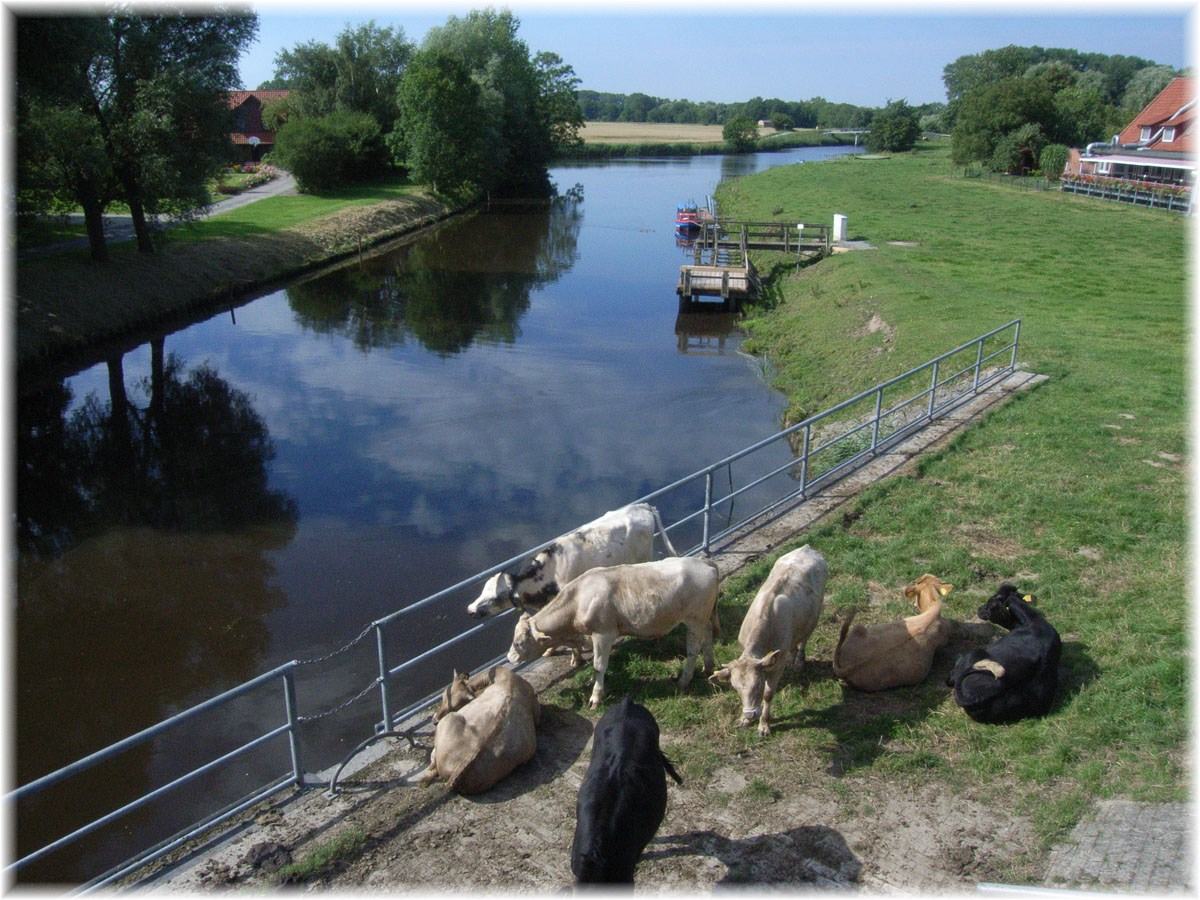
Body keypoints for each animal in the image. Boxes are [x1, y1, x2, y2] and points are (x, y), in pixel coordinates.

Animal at [504, 556, 715, 710]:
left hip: (694, 620)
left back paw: (684, 680)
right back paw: (708, 668)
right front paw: (591, 682)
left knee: (693, 650)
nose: (509, 657)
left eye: (518, 643)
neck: (578, 601)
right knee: (708, 639)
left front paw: (595, 697)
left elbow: (599, 666)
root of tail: (704, 562)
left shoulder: (603, 634)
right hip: (704, 618)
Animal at [705, 547, 830, 734]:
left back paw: (799, 663)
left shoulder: (775, 667)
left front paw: (763, 724)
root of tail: (806, 547)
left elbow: (768, 694)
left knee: (803, 640)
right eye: (735, 688)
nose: (749, 714)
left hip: (813, 618)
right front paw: (744, 720)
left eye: (757, 685)